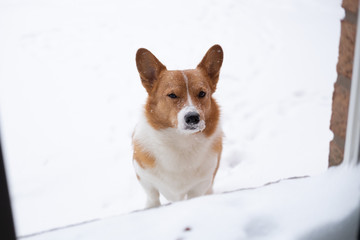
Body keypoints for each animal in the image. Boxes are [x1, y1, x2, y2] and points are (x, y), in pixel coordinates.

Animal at [131, 45, 224, 208]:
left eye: (202, 93)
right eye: (172, 95)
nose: (193, 118)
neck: (181, 141)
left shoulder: (199, 186)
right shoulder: (145, 179)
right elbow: (152, 198)